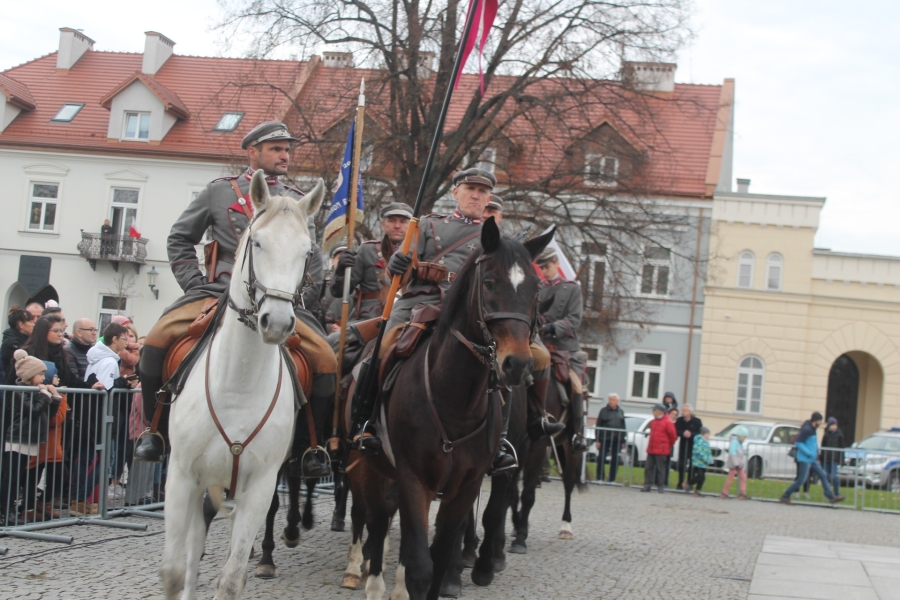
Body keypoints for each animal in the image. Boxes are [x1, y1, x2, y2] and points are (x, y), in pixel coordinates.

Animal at [159, 170, 325, 600]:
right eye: (258, 242)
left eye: (307, 251)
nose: (278, 322)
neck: (238, 384)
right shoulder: (181, 476)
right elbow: (174, 571)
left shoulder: (261, 485)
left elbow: (232, 579)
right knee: (192, 551)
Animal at [353, 219, 553, 600]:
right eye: (489, 282)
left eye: (536, 289)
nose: (517, 364)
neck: (455, 399)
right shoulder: (413, 479)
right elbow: (419, 567)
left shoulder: (468, 482)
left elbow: (445, 552)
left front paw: (461, 574)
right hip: (369, 462)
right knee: (377, 517)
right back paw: (371, 581)